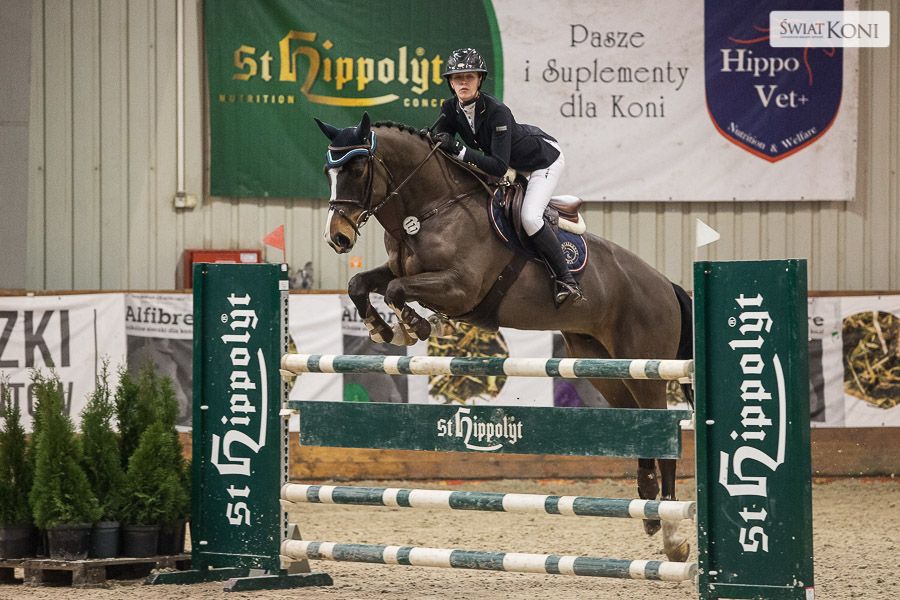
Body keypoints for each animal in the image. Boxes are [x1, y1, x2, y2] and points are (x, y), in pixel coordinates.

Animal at [315, 112, 694, 563]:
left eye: (356, 169)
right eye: (329, 172)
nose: (337, 238)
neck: (429, 209)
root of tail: (666, 285)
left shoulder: (460, 287)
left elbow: (395, 290)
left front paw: (415, 326)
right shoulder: (400, 268)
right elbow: (362, 283)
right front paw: (383, 328)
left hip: (646, 368)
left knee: (662, 432)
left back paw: (672, 536)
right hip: (606, 368)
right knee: (639, 425)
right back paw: (649, 511)